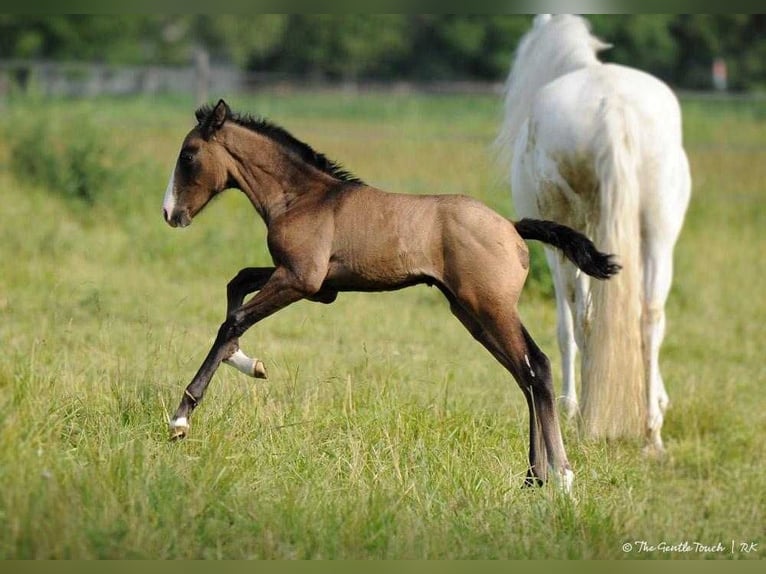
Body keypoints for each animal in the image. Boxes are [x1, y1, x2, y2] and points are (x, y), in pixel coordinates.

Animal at [500, 14, 692, 454]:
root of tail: (614, 107)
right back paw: (651, 433)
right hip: (658, 235)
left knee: (584, 317)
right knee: (650, 315)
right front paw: (659, 398)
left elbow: (566, 324)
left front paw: (569, 406)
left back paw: (588, 416)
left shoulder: (557, 248)